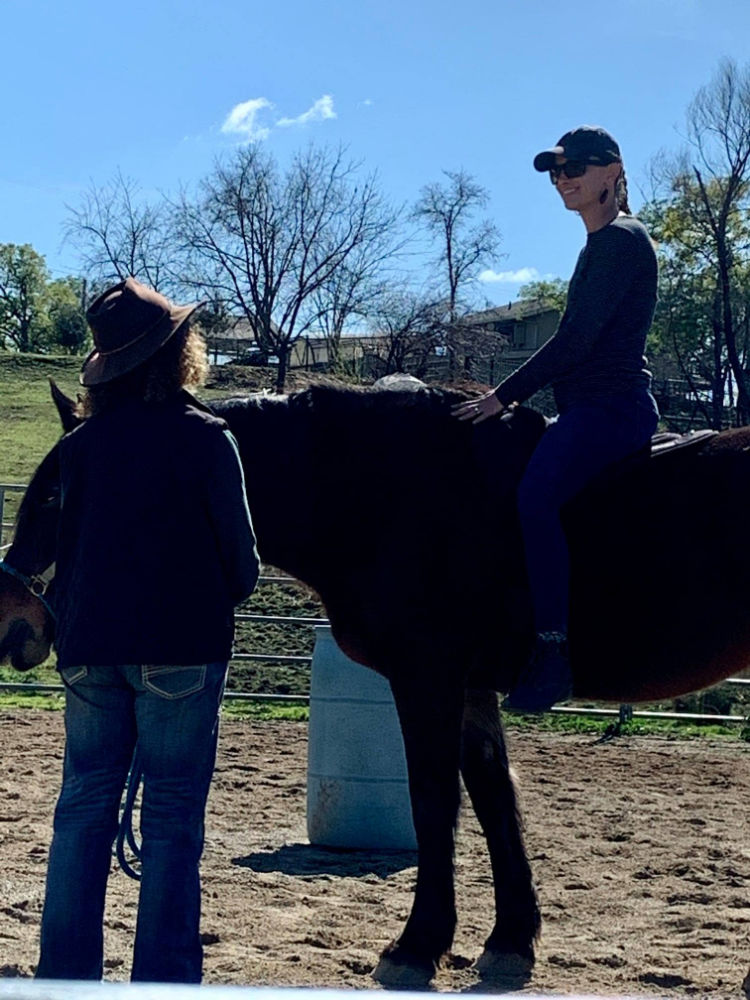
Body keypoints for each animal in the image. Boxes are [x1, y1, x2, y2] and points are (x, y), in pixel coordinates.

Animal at [1, 378, 749, 988]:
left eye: (56, 493)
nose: (15, 622)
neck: (384, 494)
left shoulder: (428, 680)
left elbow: (433, 803)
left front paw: (416, 948)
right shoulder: (469, 691)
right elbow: (493, 800)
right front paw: (509, 942)